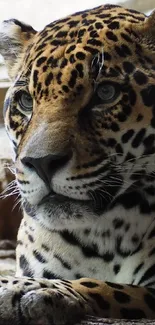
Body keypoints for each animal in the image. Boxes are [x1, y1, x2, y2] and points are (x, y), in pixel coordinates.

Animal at [0, 1, 155, 322]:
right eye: (26, 101)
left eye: (105, 93)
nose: (41, 163)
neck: (103, 234)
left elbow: (109, 287)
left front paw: (26, 289)